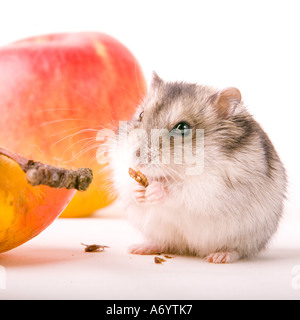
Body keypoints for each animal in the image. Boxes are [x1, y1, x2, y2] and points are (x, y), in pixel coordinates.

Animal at [109, 73, 288, 264]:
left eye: (182, 127)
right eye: (141, 115)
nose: (137, 157)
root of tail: (192, 250)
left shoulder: (210, 187)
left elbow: (180, 190)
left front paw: (155, 190)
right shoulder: (121, 169)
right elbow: (129, 186)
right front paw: (139, 192)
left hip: (246, 237)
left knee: (238, 250)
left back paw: (219, 257)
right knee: (164, 243)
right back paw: (139, 248)